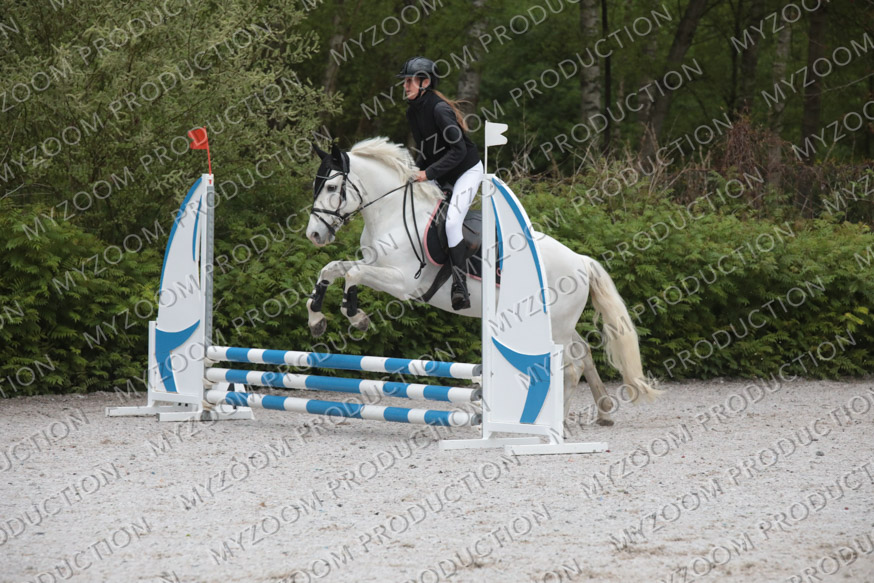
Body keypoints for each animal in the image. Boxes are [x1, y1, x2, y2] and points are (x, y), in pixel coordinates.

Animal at [304, 137, 660, 426]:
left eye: (332, 188)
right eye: (317, 185)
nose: (315, 234)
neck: (391, 213)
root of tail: (581, 261)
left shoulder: (402, 281)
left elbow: (352, 275)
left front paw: (357, 318)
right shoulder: (374, 265)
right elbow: (331, 269)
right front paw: (317, 319)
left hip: (556, 322)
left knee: (569, 366)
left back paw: (559, 424)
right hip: (555, 320)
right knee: (582, 353)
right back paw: (602, 412)